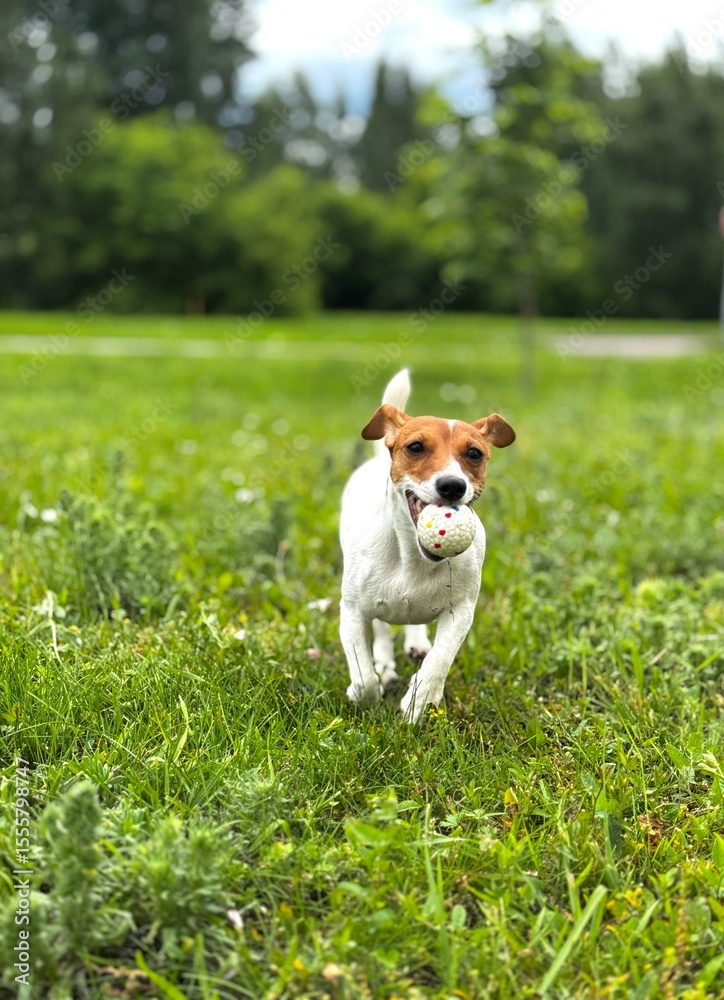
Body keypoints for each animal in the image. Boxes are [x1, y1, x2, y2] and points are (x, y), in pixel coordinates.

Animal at [339, 369, 515, 723]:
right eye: (416, 446)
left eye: (474, 453)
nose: (452, 486)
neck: (413, 558)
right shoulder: (350, 611)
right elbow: (363, 675)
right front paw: (365, 689)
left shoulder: (461, 612)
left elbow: (439, 660)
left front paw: (419, 700)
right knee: (381, 629)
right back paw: (384, 663)